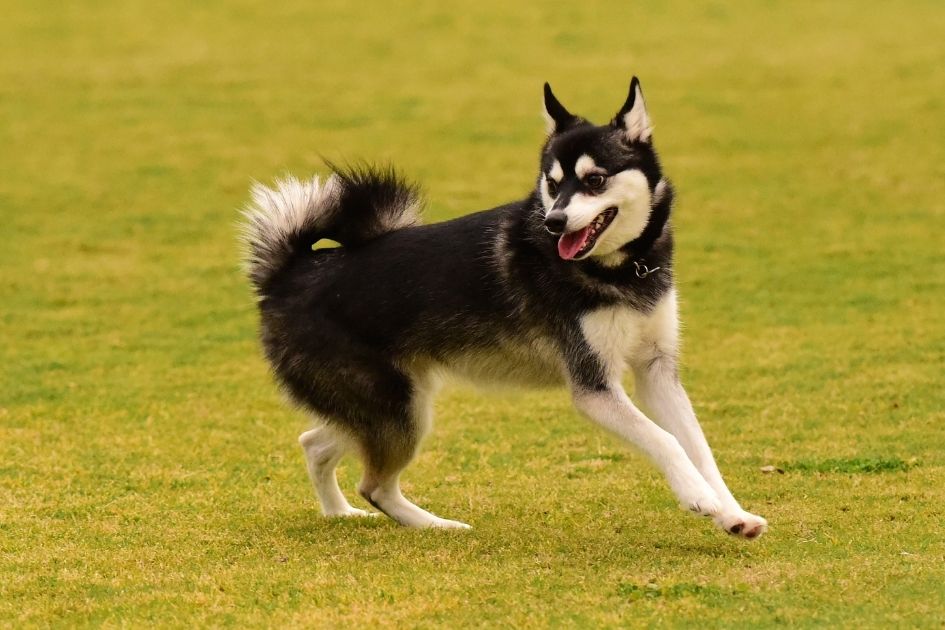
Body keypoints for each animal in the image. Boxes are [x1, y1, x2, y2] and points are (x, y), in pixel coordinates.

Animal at [242, 79, 768, 540]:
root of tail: (290, 273)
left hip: (389, 406)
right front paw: (699, 499)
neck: (622, 269)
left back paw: (339, 514)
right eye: (552, 184)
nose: (555, 222)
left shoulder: (657, 371)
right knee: (372, 483)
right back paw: (437, 527)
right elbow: (666, 440)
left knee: (315, 444)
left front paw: (732, 514)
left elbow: (699, 448)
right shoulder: (594, 387)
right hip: (396, 409)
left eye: (595, 180)